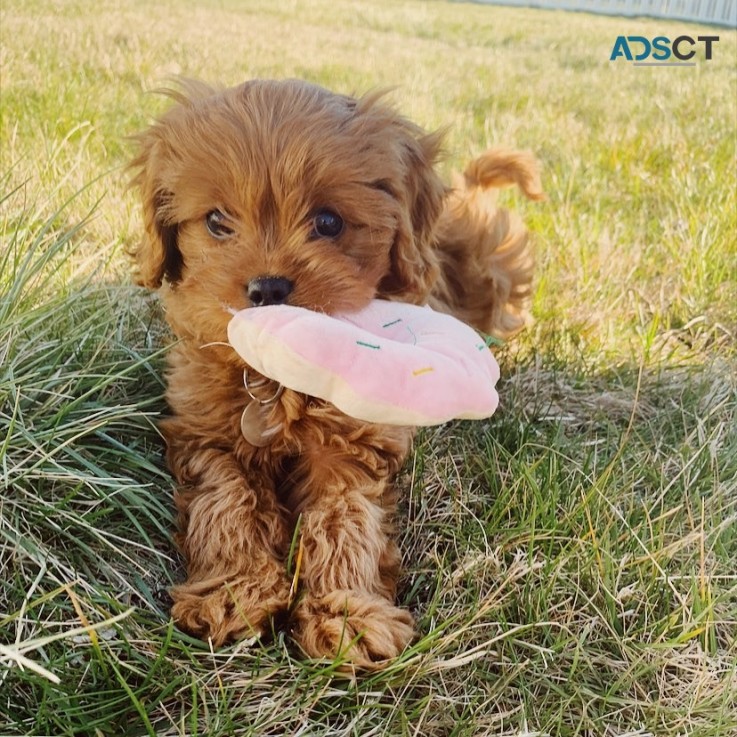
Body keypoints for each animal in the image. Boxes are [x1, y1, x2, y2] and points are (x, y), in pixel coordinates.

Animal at [129, 77, 544, 668]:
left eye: (328, 222)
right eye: (215, 221)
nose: (267, 289)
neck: (275, 375)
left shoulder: (352, 447)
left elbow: (344, 521)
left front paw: (349, 614)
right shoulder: (206, 434)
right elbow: (225, 501)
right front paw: (233, 592)